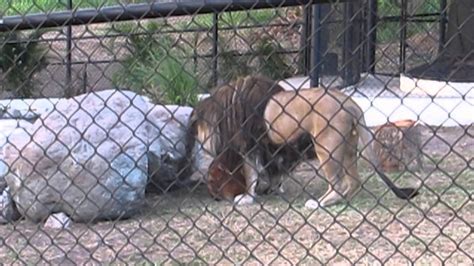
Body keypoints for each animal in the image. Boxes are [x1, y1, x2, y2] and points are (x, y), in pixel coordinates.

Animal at [186, 75, 418, 208]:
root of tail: (350, 102)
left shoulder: (250, 146)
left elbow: (251, 174)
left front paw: (247, 198)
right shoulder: (272, 149)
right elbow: (274, 170)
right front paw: (273, 188)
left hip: (326, 147)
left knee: (338, 183)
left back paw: (319, 203)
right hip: (348, 148)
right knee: (353, 181)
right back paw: (342, 200)